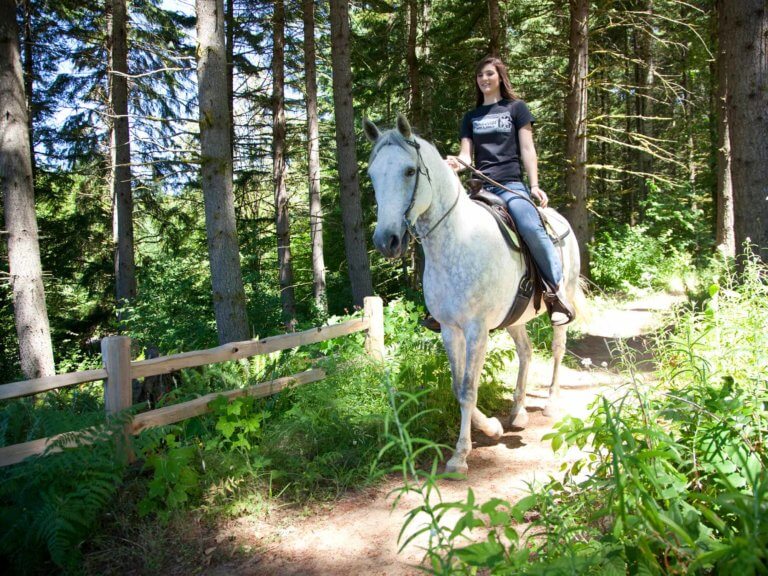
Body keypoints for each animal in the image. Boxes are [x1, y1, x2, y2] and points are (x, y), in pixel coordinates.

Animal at [364, 116, 584, 472]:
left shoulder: (476, 329)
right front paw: (491, 427)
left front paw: (460, 456)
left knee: (557, 349)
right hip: (514, 319)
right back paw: (517, 412)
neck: (457, 241)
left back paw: (551, 403)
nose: (387, 241)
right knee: (526, 352)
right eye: (372, 174)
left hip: (561, 305)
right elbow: (458, 386)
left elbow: (469, 388)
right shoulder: (449, 329)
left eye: (410, 171)